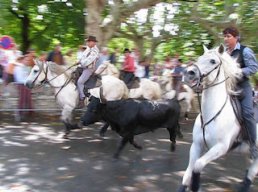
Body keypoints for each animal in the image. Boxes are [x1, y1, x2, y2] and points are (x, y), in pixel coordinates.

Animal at [177, 44, 258, 191]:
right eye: (200, 58)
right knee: (249, 167)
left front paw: (196, 186)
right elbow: (188, 171)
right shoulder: (196, 144)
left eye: (213, 61)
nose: (188, 73)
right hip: (245, 149)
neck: (212, 114)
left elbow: (197, 165)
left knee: (253, 169)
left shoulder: (220, 147)